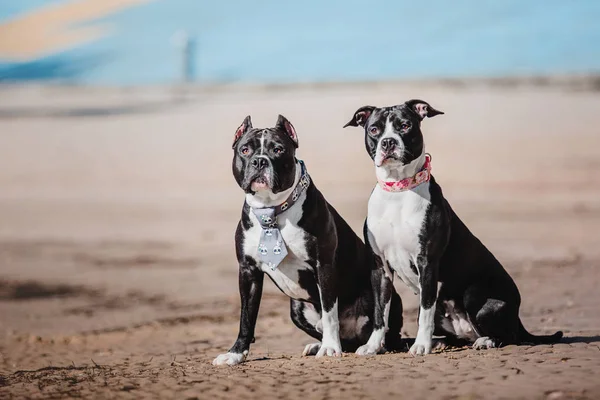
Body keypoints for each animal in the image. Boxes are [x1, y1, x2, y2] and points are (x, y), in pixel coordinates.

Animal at [212, 115, 404, 366]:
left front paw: (330, 348)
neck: (272, 209)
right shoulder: (248, 272)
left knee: (385, 334)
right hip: (296, 310)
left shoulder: (324, 266)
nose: (260, 161)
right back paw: (318, 345)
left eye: (278, 149)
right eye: (245, 150)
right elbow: (246, 318)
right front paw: (235, 354)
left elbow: (330, 312)